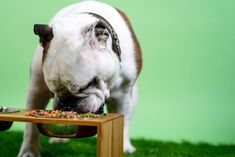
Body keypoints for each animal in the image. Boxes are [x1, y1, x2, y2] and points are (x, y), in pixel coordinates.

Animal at [17, 0, 141, 156]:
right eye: (53, 89)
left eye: (87, 85)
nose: (67, 104)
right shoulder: (37, 90)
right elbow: (30, 127)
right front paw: (29, 151)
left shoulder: (122, 96)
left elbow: (122, 120)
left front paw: (123, 146)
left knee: (128, 119)